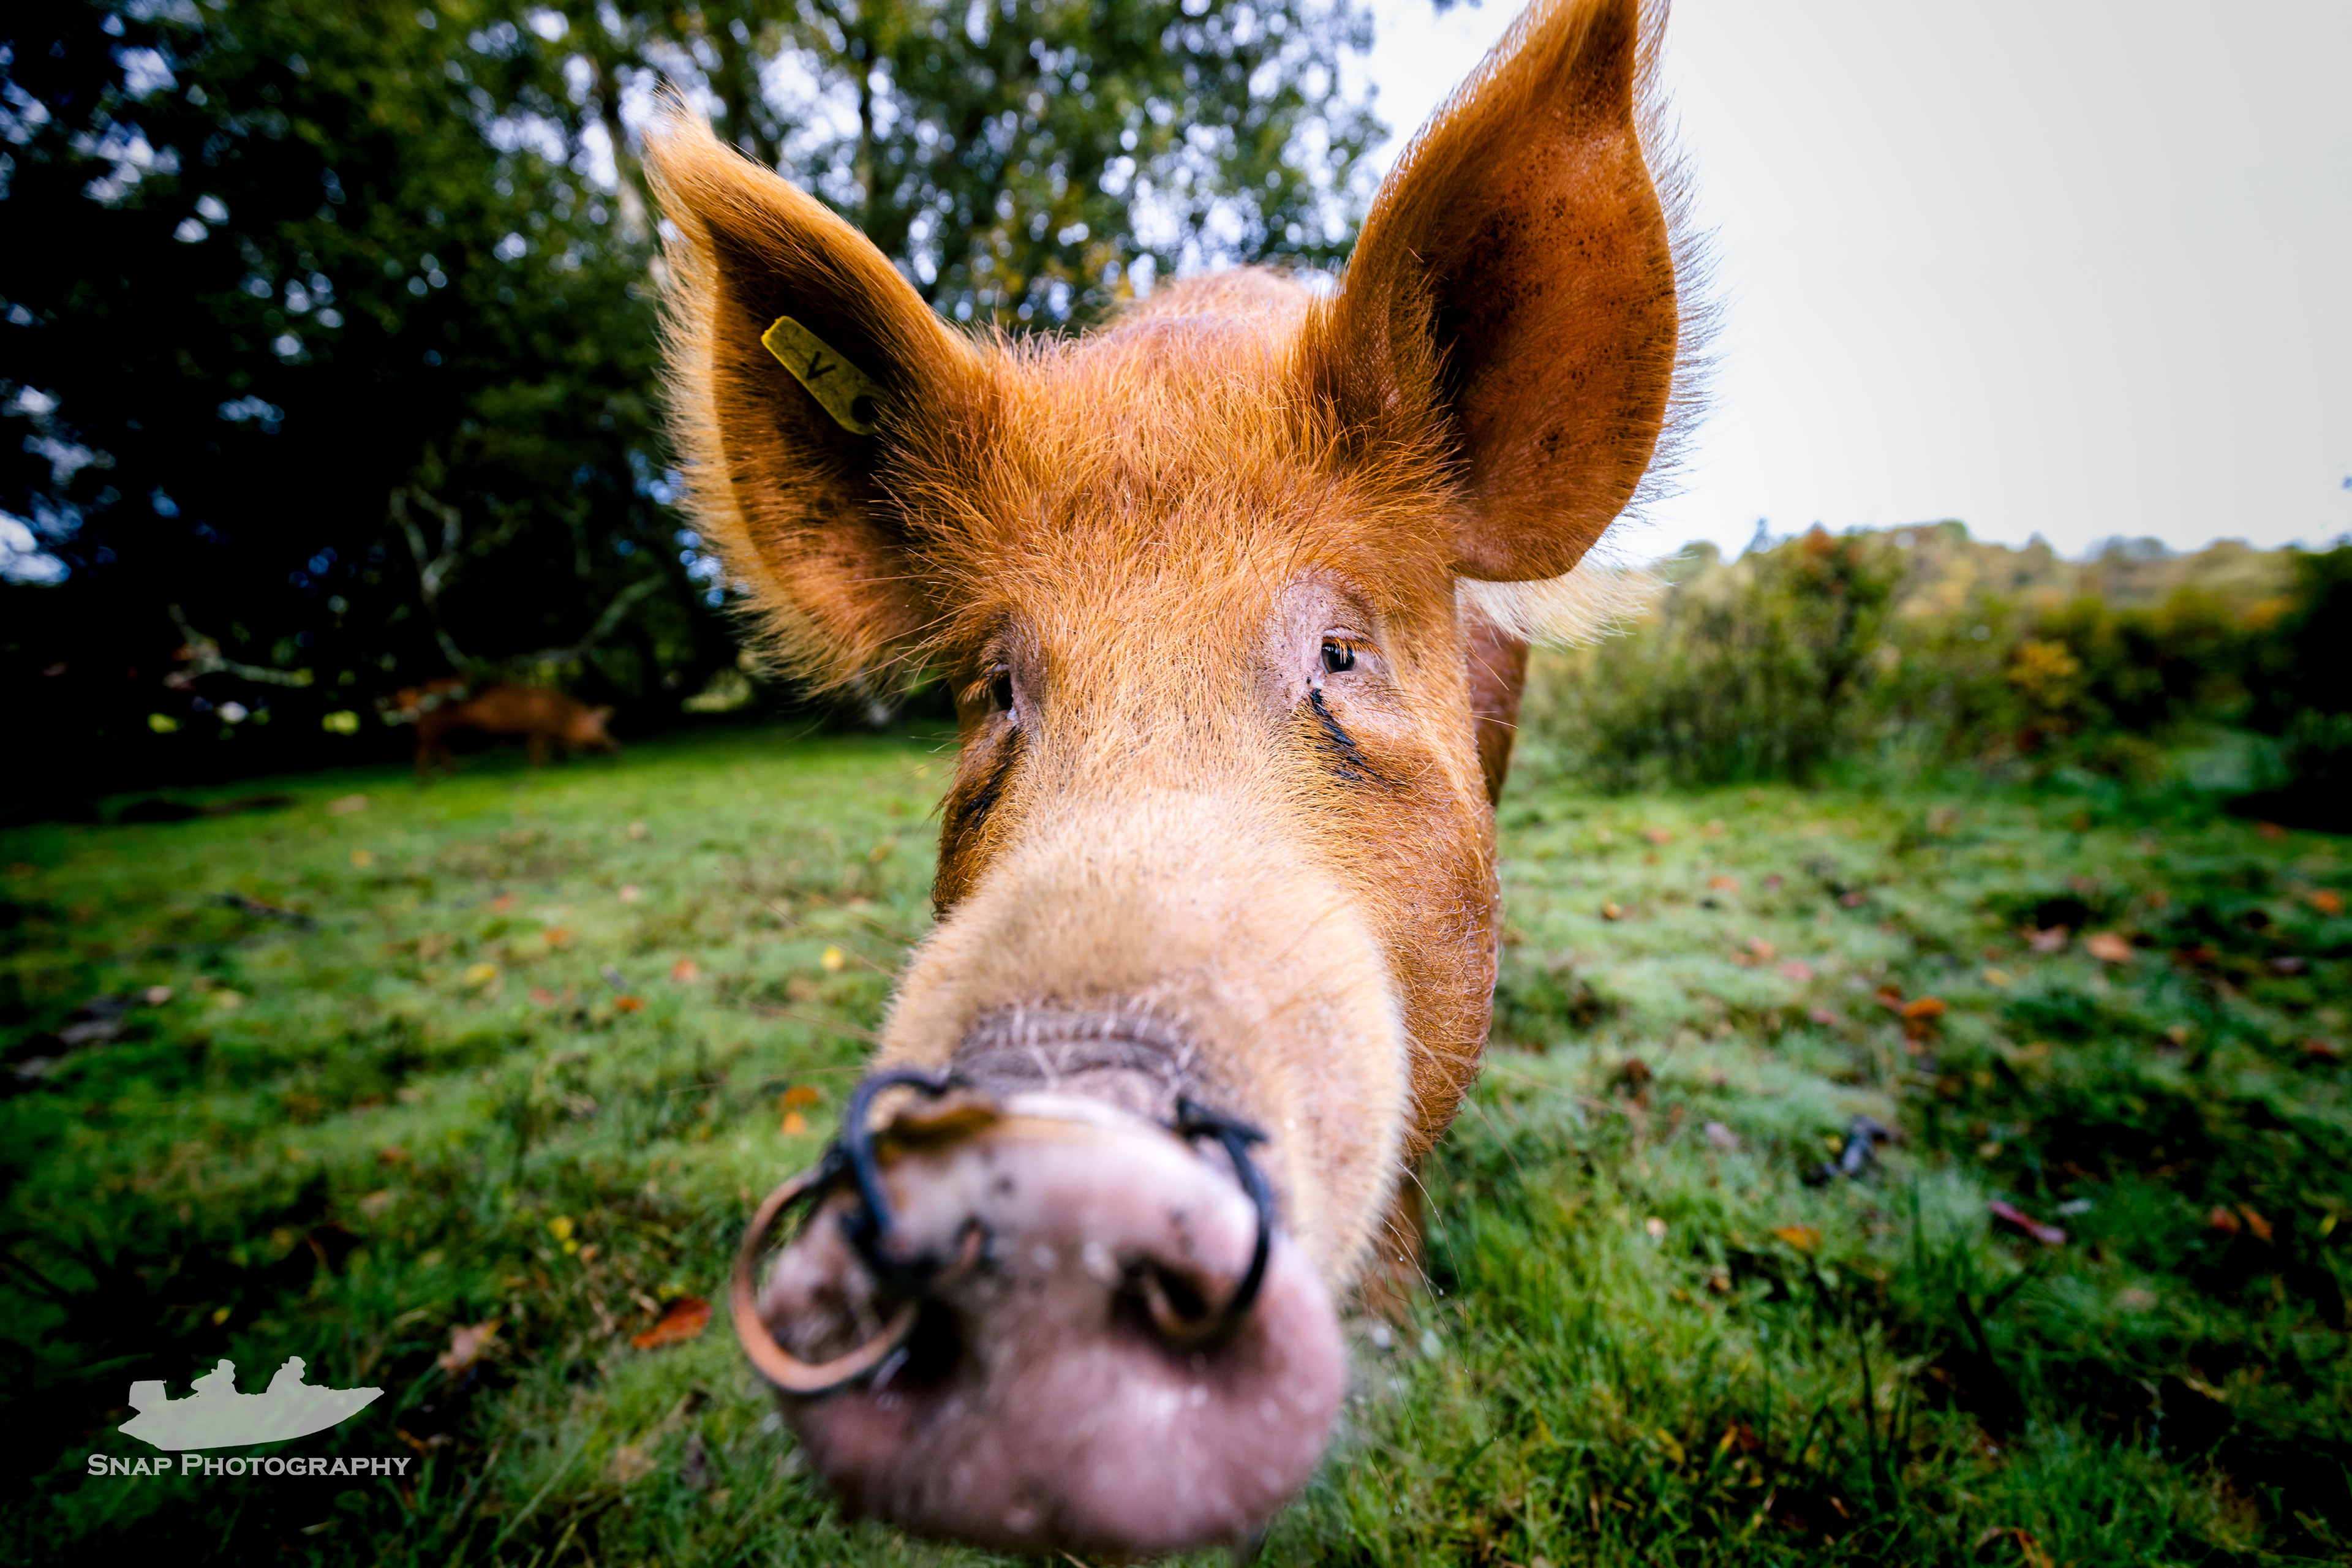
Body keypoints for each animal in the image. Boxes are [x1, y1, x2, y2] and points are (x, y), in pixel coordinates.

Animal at [410, 683, 617, 779]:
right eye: (601, 727)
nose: (617, 747)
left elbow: (557, 751)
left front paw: (560, 766)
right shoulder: (537, 732)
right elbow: (538, 753)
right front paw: (540, 771)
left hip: (439, 732)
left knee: (439, 747)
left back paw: (449, 775)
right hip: (433, 729)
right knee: (426, 747)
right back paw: (427, 780)